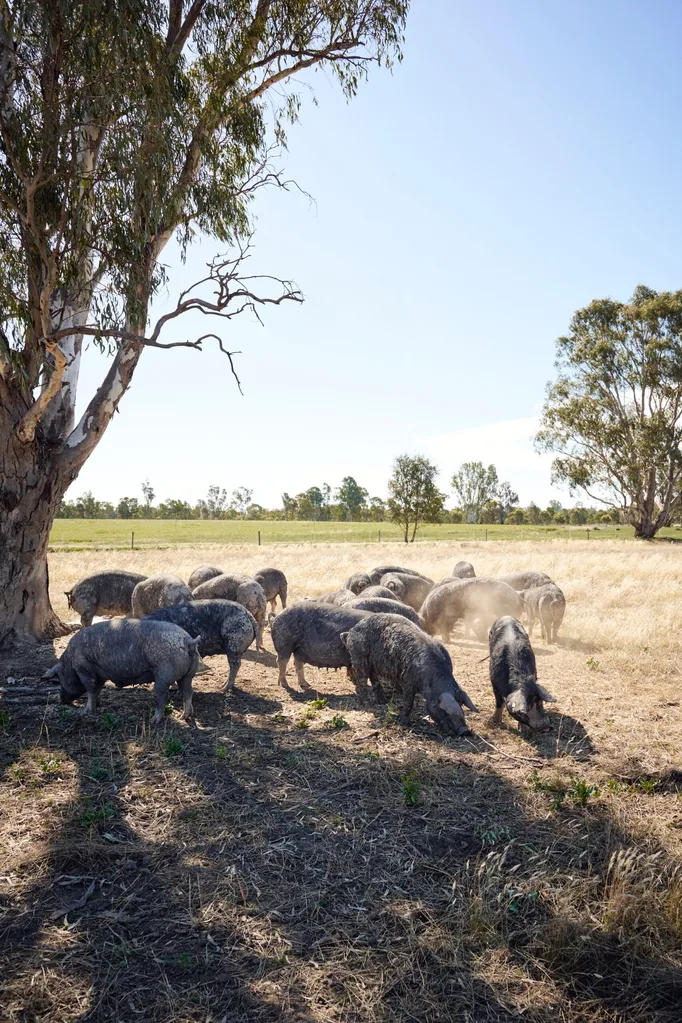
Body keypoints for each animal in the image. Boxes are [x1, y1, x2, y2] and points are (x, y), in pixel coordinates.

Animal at [41, 618, 200, 724]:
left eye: (59, 678)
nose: (62, 700)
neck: (70, 662)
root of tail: (187, 640)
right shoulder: (99, 674)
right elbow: (97, 689)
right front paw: (98, 705)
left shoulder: (84, 669)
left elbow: (90, 689)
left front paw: (85, 712)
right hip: (188, 675)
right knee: (188, 692)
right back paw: (184, 717)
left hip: (163, 674)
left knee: (163, 697)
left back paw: (154, 720)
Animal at [340, 614, 479, 736]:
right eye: (443, 711)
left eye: (461, 705)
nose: (465, 731)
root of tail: (350, 631)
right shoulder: (408, 681)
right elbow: (408, 702)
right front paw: (403, 723)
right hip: (359, 656)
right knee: (361, 680)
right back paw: (367, 704)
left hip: (374, 663)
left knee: (374, 679)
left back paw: (383, 702)